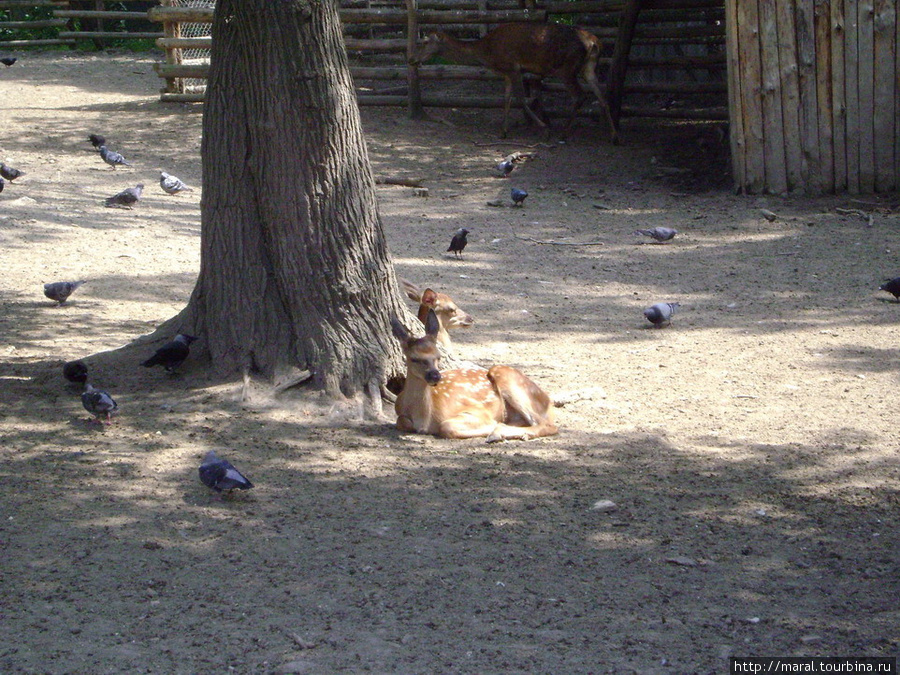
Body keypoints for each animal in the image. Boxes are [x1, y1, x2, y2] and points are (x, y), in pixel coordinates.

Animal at [392, 312, 560, 444]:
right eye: (414, 358)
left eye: (438, 356)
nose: (435, 375)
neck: (424, 418)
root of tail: (547, 401)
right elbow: (401, 421)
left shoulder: (476, 411)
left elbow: (446, 426)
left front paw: (493, 427)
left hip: (506, 378)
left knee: (548, 425)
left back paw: (498, 433)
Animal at [412, 22, 624, 143]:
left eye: (425, 42)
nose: (411, 59)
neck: (486, 52)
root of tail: (595, 42)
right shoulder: (507, 72)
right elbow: (506, 99)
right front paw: (503, 132)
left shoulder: (513, 67)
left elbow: (521, 99)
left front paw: (545, 129)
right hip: (589, 67)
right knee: (601, 96)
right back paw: (614, 136)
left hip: (567, 68)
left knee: (580, 96)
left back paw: (563, 134)